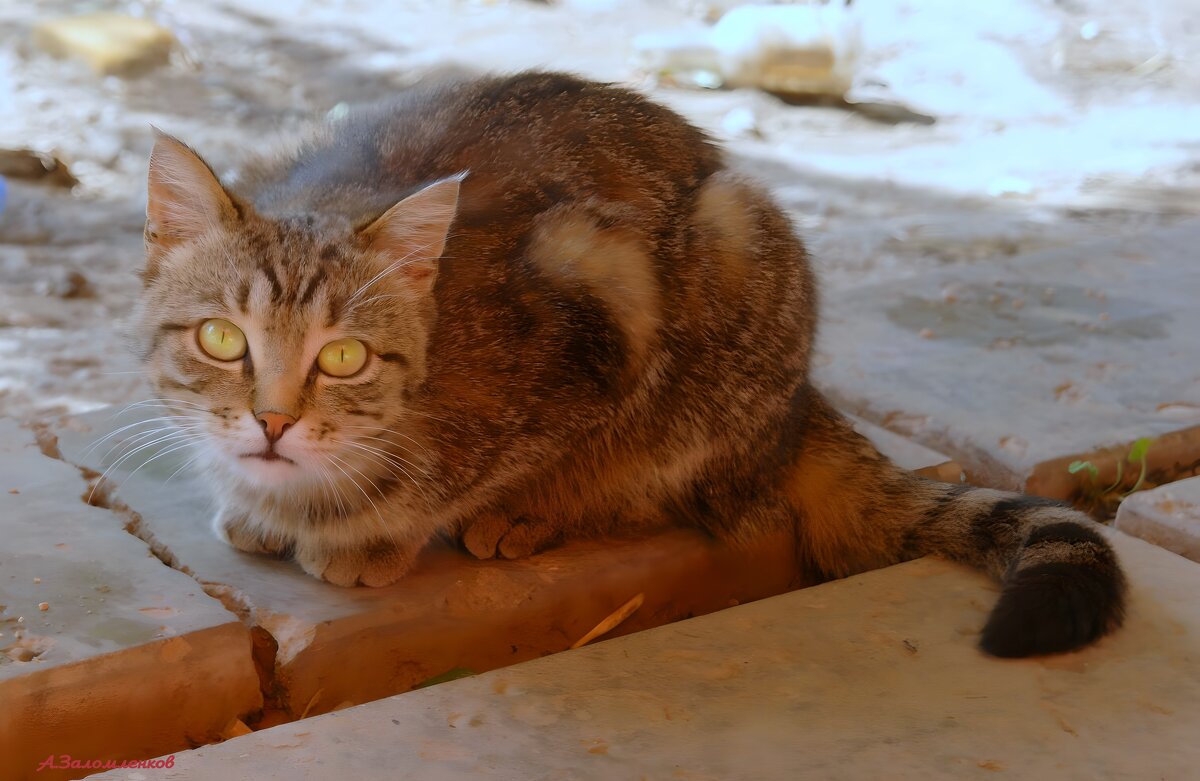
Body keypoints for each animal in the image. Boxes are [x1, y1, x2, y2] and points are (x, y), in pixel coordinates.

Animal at [136, 71, 1118, 662]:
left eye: (342, 356)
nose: (272, 418)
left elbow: (475, 474)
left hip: (731, 273)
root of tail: (801, 405)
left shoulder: (592, 316)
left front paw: (380, 533)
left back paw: (529, 518)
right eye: (221, 339)